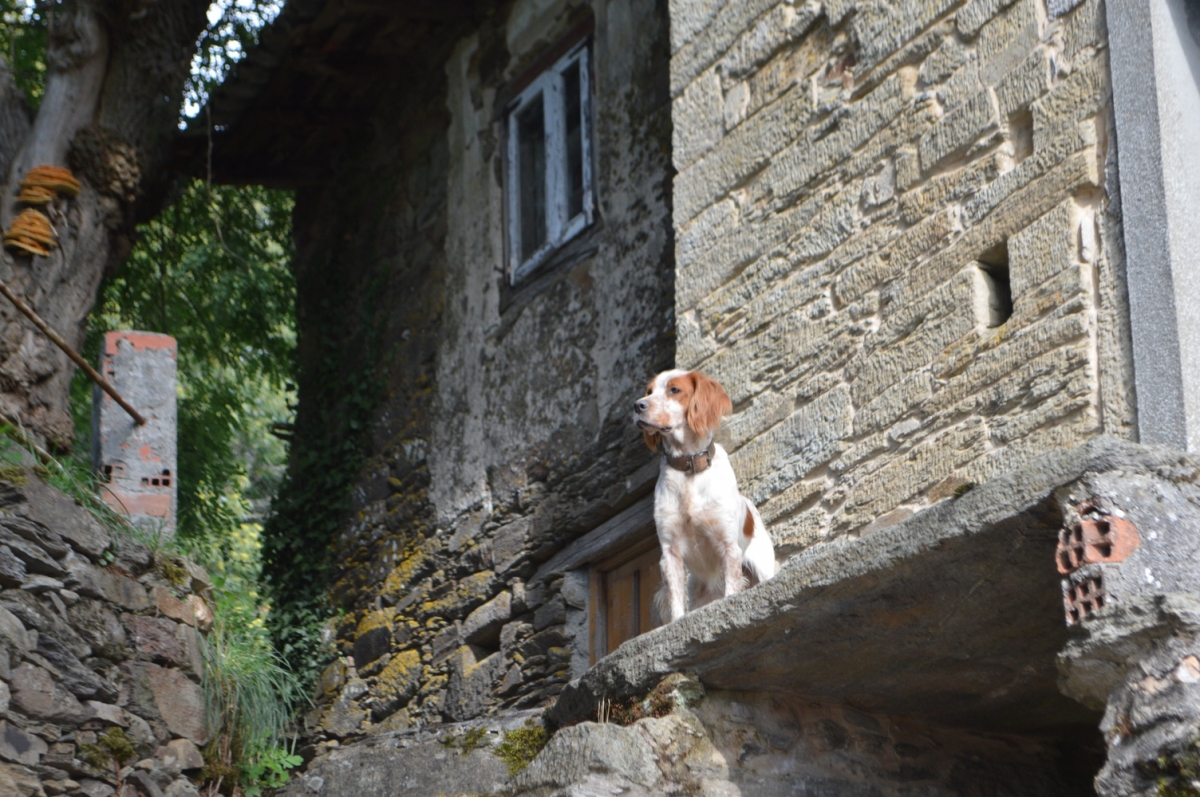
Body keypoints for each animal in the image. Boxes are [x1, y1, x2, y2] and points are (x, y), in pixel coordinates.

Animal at [633, 369, 772, 624]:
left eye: (674, 390)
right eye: (649, 391)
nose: (638, 405)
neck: (689, 468)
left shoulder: (728, 545)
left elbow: (731, 587)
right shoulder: (670, 550)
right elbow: (675, 602)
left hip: (763, 567)